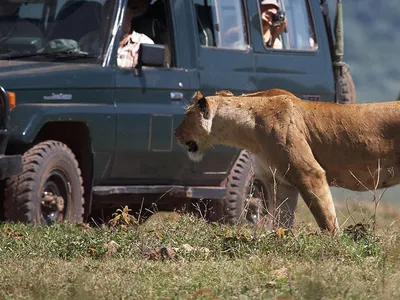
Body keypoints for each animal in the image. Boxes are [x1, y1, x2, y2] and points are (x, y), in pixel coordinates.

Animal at [175, 88, 400, 233]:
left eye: (186, 115)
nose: (176, 134)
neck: (247, 129)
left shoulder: (309, 173)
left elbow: (326, 218)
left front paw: (333, 248)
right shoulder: (281, 183)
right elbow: (282, 220)